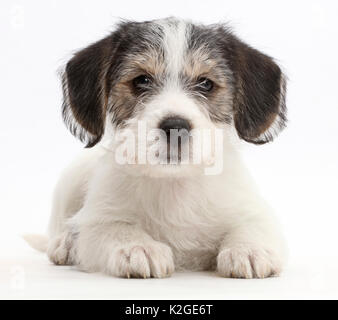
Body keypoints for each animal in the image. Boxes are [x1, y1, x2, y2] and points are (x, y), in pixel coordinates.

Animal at [26, 17, 288, 278]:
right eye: (141, 80)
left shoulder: (253, 208)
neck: (173, 185)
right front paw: (137, 247)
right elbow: (113, 226)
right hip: (70, 180)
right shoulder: (97, 219)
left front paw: (249, 249)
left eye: (206, 84)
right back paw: (62, 244)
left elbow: (253, 225)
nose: (176, 127)